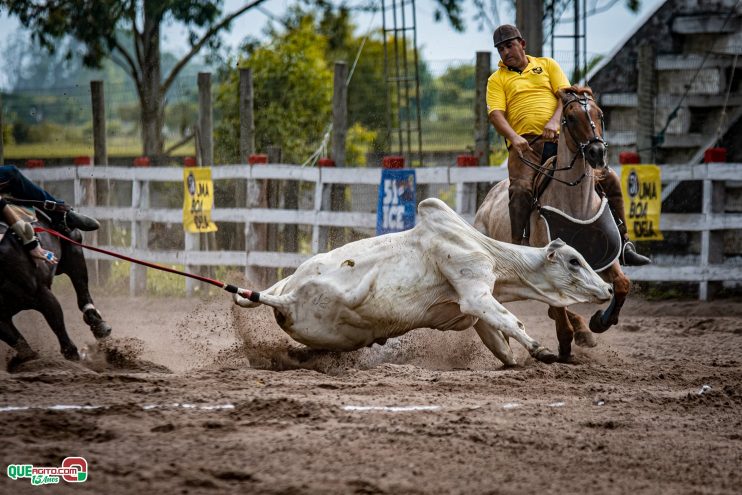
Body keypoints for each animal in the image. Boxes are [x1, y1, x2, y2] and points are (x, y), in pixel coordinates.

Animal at [0, 209, 112, 364]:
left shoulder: (42, 294)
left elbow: (58, 324)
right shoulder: (2, 318)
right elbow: (22, 345)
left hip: (73, 253)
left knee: (82, 289)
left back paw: (98, 324)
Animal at [235, 199, 612, 368]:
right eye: (574, 260)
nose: (608, 289)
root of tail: (284, 301)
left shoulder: (474, 311)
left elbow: (499, 340)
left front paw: (517, 359)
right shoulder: (475, 291)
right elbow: (510, 321)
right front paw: (542, 351)